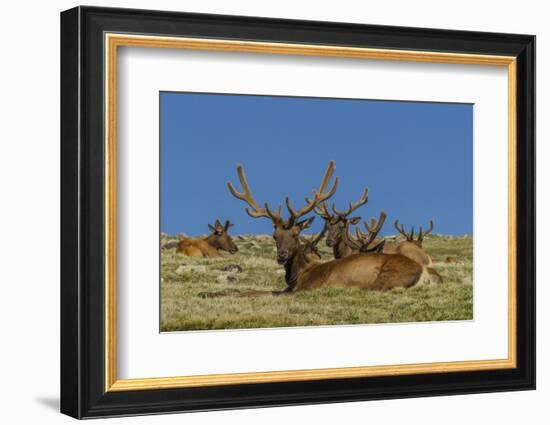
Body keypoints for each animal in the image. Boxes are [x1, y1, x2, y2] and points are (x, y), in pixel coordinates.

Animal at [203, 162, 444, 298]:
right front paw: (207, 293)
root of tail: (428, 273)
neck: (298, 276)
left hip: (388, 275)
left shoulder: (306, 289)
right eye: (274, 235)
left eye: (295, 234)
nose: (281, 255)